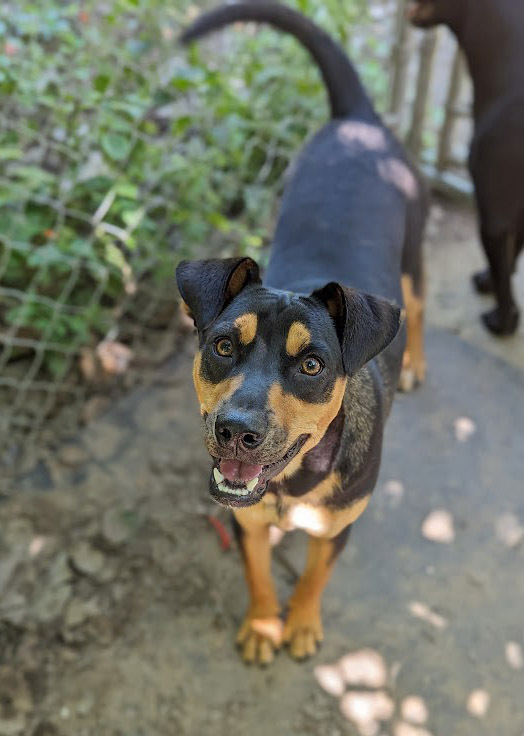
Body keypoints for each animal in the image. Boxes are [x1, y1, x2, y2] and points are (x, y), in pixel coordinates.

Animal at [178, 2, 428, 664]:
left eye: (312, 365)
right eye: (223, 346)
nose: (235, 433)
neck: (292, 485)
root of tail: (359, 120)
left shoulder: (337, 526)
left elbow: (314, 574)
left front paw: (301, 625)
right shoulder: (244, 518)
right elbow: (258, 572)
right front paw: (265, 625)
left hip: (415, 253)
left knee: (419, 307)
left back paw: (417, 362)